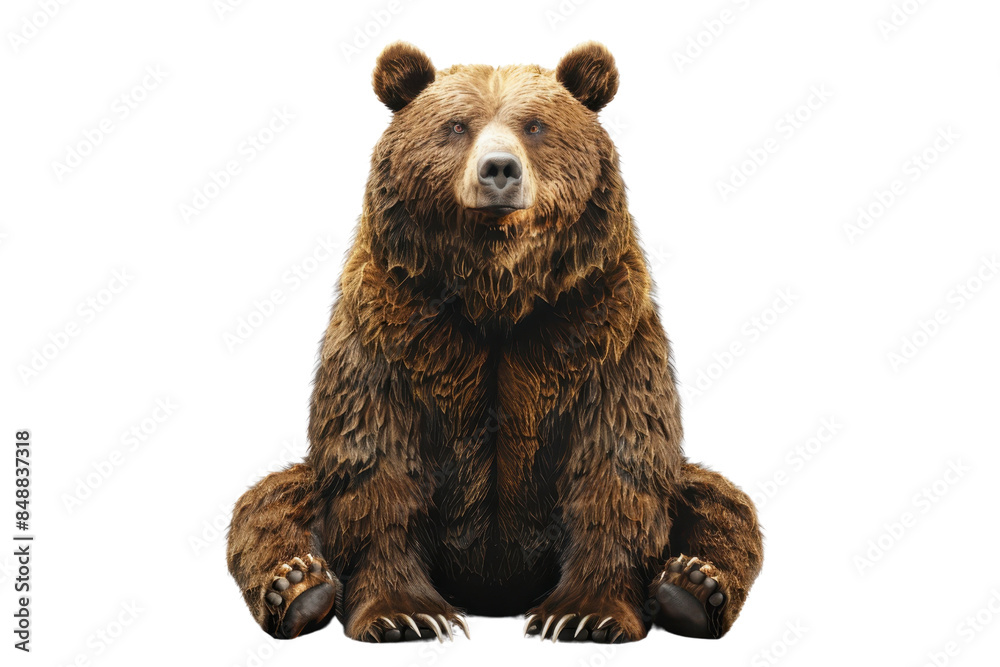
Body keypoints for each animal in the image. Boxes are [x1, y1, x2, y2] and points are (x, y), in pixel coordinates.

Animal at [227, 41, 763, 644]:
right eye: (457, 126)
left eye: (536, 126)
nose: (500, 169)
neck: (496, 290)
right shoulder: (393, 330)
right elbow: (376, 461)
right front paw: (405, 614)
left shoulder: (598, 327)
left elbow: (617, 460)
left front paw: (586, 614)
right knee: (270, 501)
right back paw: (298, 586)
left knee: (719, 502)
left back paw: (692, 586)